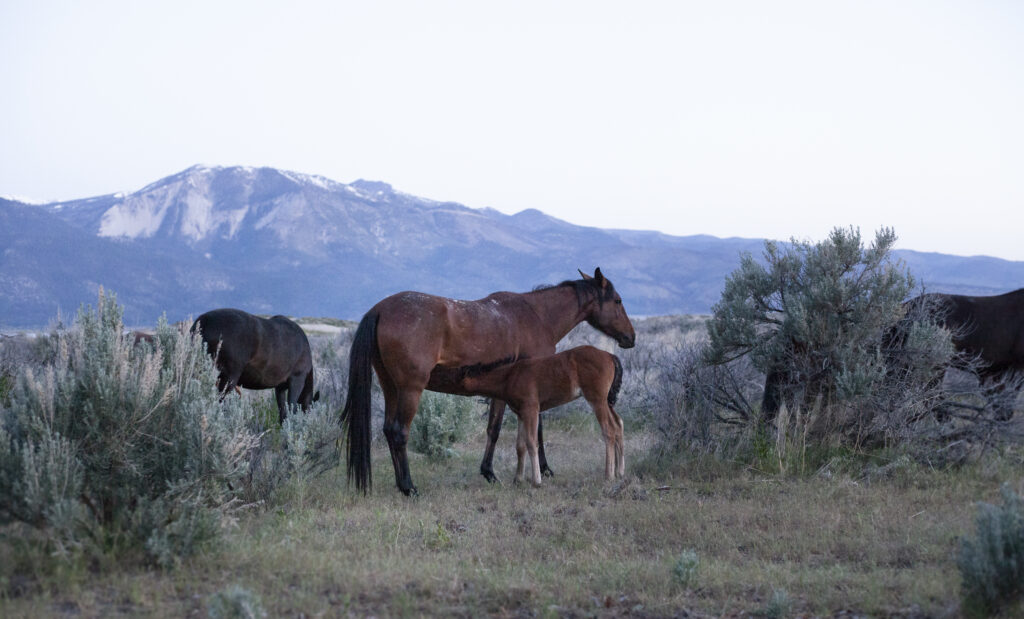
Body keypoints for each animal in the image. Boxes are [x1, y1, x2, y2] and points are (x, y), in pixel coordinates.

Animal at [191, 308, 319, 423]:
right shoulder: (297, 379)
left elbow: (282, 413)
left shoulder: (280, 387)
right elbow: (291, 409)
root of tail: (203, 321)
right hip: (229, 377)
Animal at [460, 345, 625, 486]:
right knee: (618, 424)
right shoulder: (521, 414)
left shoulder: (531, 409)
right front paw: (518, 480)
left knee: (609, 430)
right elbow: (520, 445)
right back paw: (619, 472)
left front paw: (536, 481)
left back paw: (608, 475)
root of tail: (609, 356)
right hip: (607, 402)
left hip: (597, 401)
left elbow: (532, 442)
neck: (511, 375)